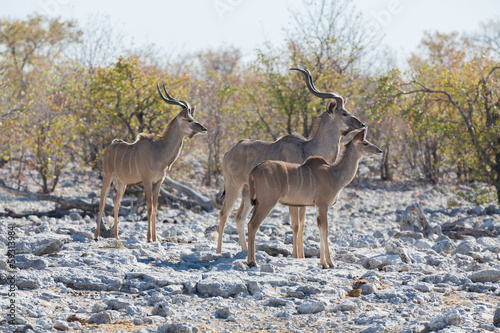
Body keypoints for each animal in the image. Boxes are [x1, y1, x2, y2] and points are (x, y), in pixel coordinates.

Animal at [94, 83, 206, 241]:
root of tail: (110, 145)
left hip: (122, 182)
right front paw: (148, 238)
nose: (204, 128)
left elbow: (155, 208)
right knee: (102, 202)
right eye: (189, 119)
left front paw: (155, 238)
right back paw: (97, 236)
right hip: (107, 175)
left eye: (192, 117)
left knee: (116, 202)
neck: (159, 151)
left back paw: (116, 235)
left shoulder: (158, 183)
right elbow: (149, 207)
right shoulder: (147, 181)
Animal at [217, 66, 366, 255]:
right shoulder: (295, 199)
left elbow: (301, 226)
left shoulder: (303, 200)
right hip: (233, 187)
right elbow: (295, 226)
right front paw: (297, 256)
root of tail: (228, 152)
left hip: (246, 191)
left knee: (239, 217)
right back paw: (219, 251)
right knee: (224, 213)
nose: (362, 124)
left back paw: (244, 251)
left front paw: (300, 255)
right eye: (344, 113)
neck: (307, 148)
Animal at [247, 129, 382, 268]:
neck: (335, 175)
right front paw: (329, 263)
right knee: (253, 224)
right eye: (365, 143)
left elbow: (320, 228)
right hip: (267, 202)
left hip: (258, 203)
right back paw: (253, 262)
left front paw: (323, 263)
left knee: (249, 223)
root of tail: (253, 171)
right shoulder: (323, 204)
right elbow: (325, 229)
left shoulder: (317, 206)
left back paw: (249, 261)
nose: (380, 150)